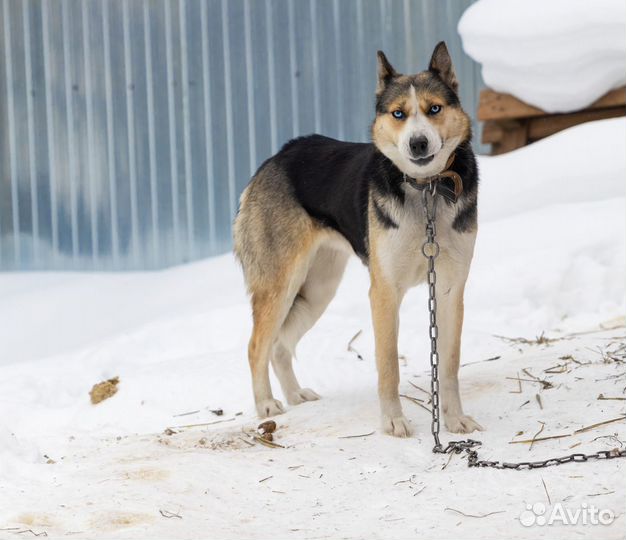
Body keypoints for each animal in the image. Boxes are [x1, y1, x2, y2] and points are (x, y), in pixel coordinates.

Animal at [232, 43, 480, 438]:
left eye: (434, 109)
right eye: (398, 114)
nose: (418, 142)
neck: (425, 189)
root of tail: (275, 159)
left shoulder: (449, 289)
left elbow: (449, 366)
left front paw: (455, 419)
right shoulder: (384, 292)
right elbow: (388, 366)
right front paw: (393, 421)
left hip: (318, 290)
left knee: (280, 346)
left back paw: (295, 394)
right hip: (280, 285)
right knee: (257, 345)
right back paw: (267, 404)